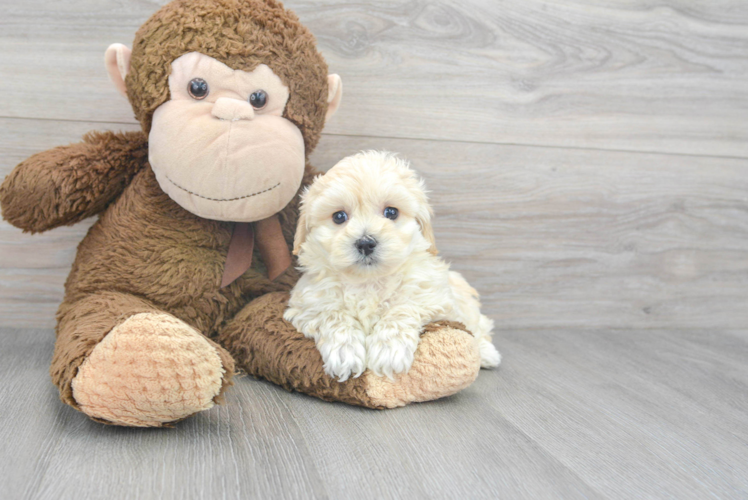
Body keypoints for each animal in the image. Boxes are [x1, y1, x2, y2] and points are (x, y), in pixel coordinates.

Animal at [284, 150, 500, 380]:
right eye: (339, 216)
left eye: (391, 212)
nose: (365, 243)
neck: (368, 281)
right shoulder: (308, 304)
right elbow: (333, 313)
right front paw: (345, 351)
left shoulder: (434, 298)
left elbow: (402, 308)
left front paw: (389, 351)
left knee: (479, 326)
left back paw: (488, 354)